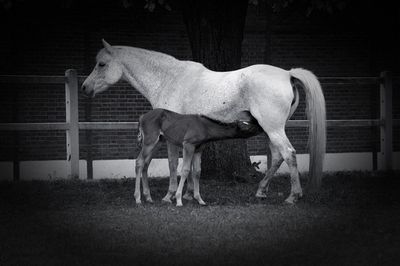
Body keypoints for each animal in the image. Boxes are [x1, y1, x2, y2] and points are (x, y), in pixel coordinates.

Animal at [134, 107, 262, 206]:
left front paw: (200, 200)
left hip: (158, 142)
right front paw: (179, 199)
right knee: (139, 161)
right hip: (150, 141)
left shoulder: (198, 150)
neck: (205, 127)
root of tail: (142, 117)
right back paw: (138, 198)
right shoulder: (188, 145)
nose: (260, 127)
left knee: (146, 164)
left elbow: (197, 171)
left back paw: (148, 197)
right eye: (248, 127)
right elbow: (185, 170)